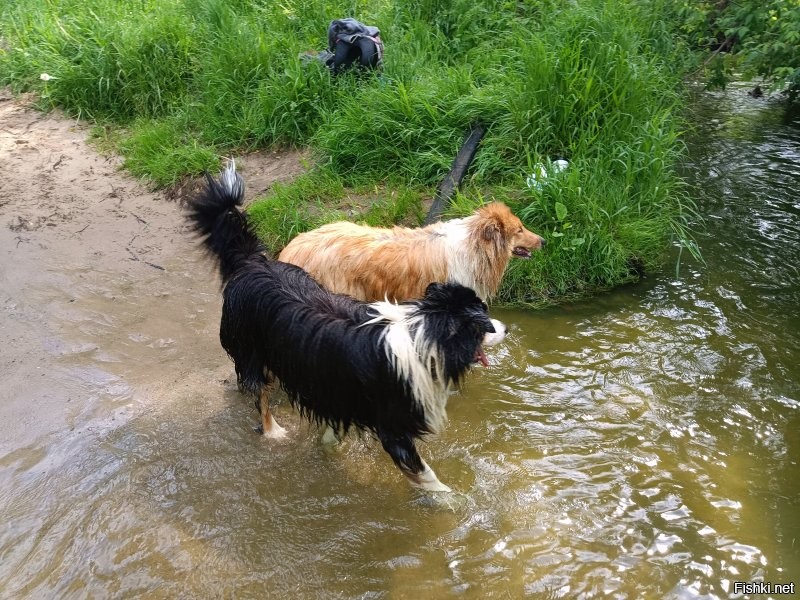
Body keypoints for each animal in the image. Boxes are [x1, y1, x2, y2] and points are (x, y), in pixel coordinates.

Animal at [188, 162, 506, 490]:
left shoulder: (342, 397)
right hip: (254, 353)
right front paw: (452, 498)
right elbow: (427, 476)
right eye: (483, 323)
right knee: (260, 397)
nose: (505, 328)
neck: (422, 336)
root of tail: (253, 263)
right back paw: (273, 431)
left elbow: (331, 435)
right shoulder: (393, 425)